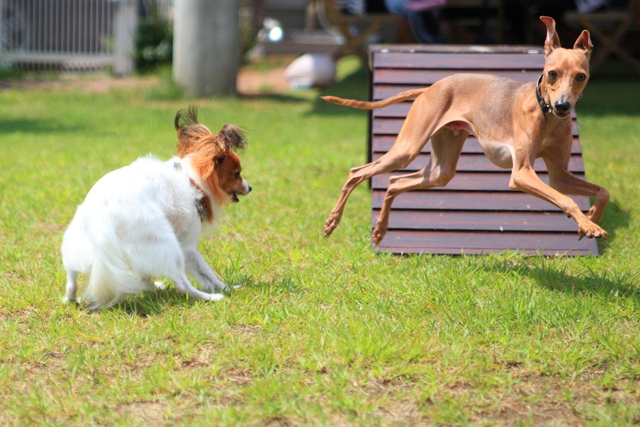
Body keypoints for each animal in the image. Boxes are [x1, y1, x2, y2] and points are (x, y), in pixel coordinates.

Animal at [62, 106, 251, 308]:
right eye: (237, 174)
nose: (250, 187)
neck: (193, 180)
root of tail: (103, 219)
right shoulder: (188, 247)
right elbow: (206, 272)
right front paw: (226, 288)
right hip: (166, 245)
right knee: (182, 284)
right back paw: (210, 297)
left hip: (77, 243)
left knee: (71, 278)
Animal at [324, 16, 608, 246]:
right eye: (552, 74)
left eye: (580, 77)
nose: (562, 106)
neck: (546, 113)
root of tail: (428, 88)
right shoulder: (521, 173)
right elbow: (567, 200)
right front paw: (588, 224)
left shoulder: (559, 176)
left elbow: (601, 191)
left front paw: (590, 220)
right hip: (407, 150)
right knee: (357, 173)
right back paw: (332, 221)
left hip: (441, 170)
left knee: (395, 182)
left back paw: (380, 230)